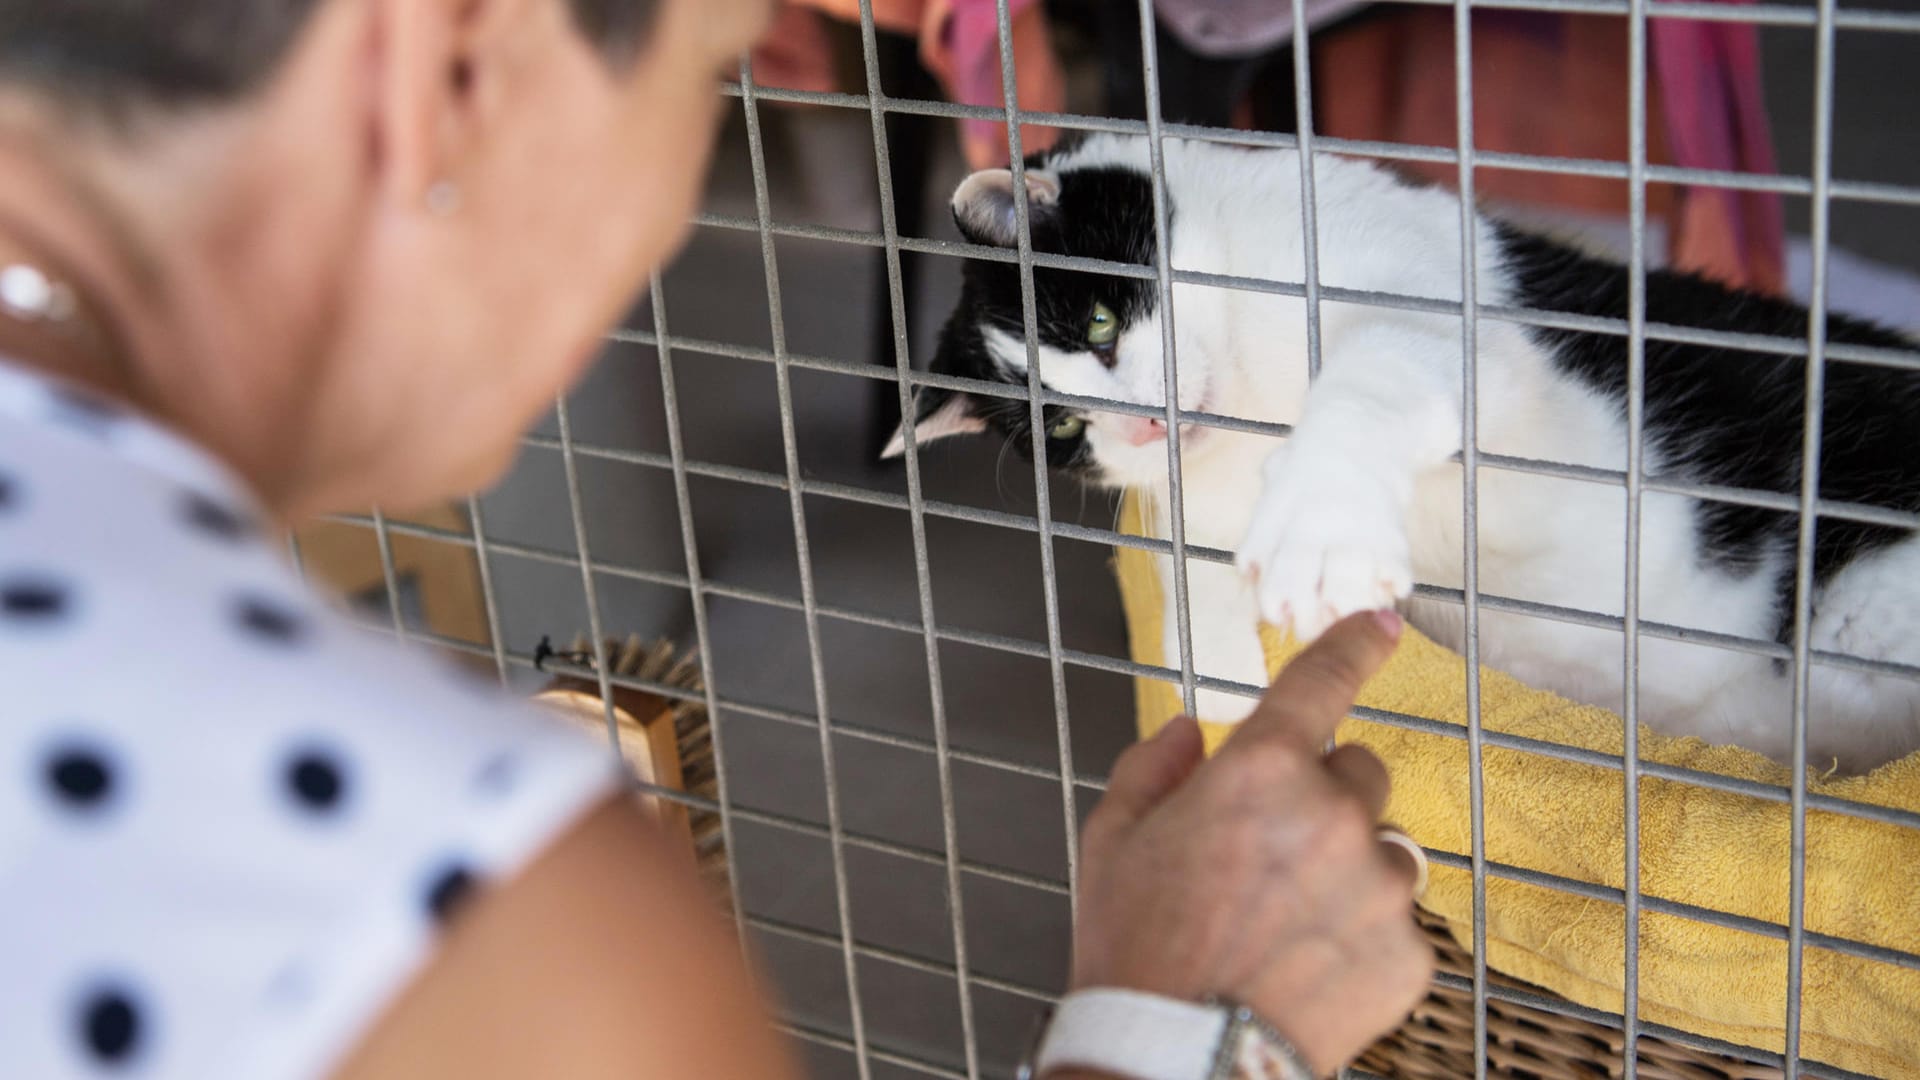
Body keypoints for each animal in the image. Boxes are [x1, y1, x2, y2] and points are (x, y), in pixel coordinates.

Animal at [887, 134, 1920, 768]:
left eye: (1102, 320)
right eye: (1064, 429)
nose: (1137, 425)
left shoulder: (1460, 334)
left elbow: (1375, 372)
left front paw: (1320, 526)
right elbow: (1190, 534)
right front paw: (1218, 679)